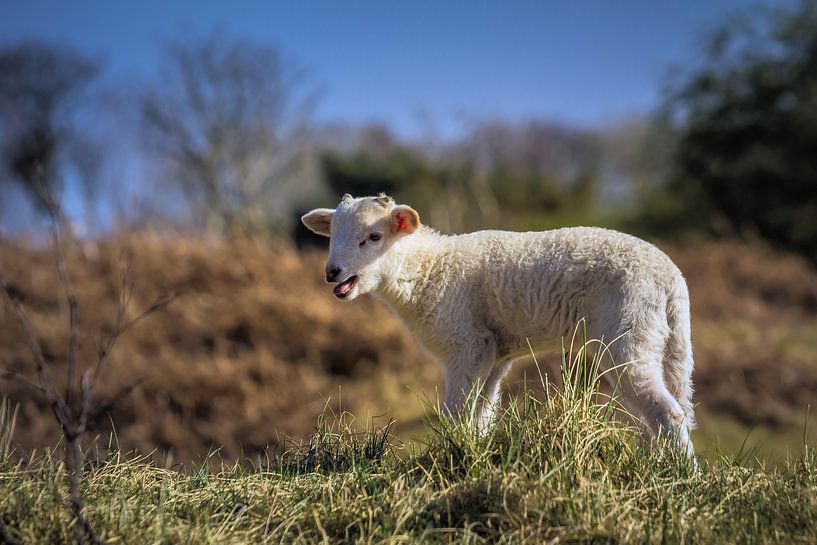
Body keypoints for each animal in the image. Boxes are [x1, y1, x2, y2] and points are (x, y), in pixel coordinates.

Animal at [302, 193, 696, 457]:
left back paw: (682, 477)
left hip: (628, 328)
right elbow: (481, 414)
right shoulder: (493, 353)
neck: (427, 269)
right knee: (675, 405)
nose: (332, 273)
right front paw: (471, 451)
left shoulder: (465, 344)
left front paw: (447, 457)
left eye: (374, 237)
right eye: (332, 235)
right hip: (668, 343)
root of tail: (671, 280)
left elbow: (457, 412)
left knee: (668, 412)